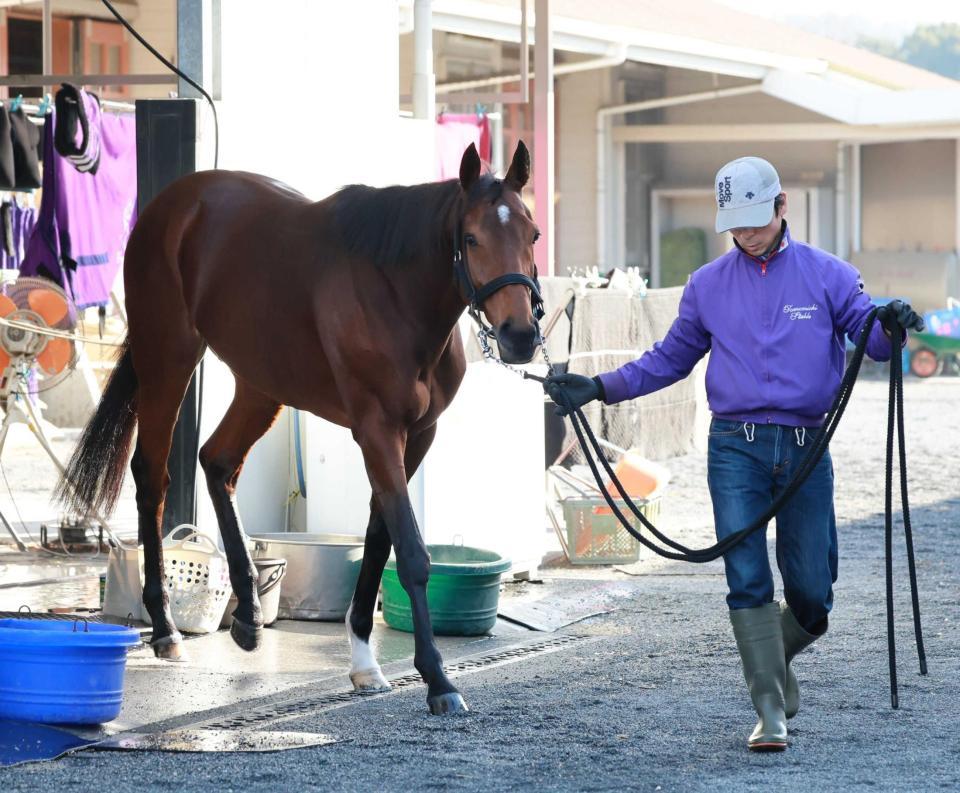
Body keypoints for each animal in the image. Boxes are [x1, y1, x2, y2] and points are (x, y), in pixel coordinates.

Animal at [58, 142, 540, 716]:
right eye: (471, 238)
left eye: (533, 235)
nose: (520, 335)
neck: (395, 290)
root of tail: (171, 203)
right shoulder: (377, 430)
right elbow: (411, 552)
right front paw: (438, 679)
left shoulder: (418, 435)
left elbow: (378, 539)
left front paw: (365, 661)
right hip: (168, 359)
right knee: (153, 477)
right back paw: (166, 628)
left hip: (261, 384)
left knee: (218, 461)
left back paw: (247, 615)